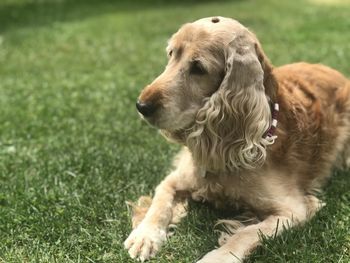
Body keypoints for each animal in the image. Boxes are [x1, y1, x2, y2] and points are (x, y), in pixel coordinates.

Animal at [124, 17, 348, 263]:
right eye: (171, 54)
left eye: (198, 68)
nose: (141, 105)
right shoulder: (176, 178)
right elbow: (160, 202)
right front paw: (145, 235)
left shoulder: (294, 208)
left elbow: (246, 233)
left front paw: (216, 257)